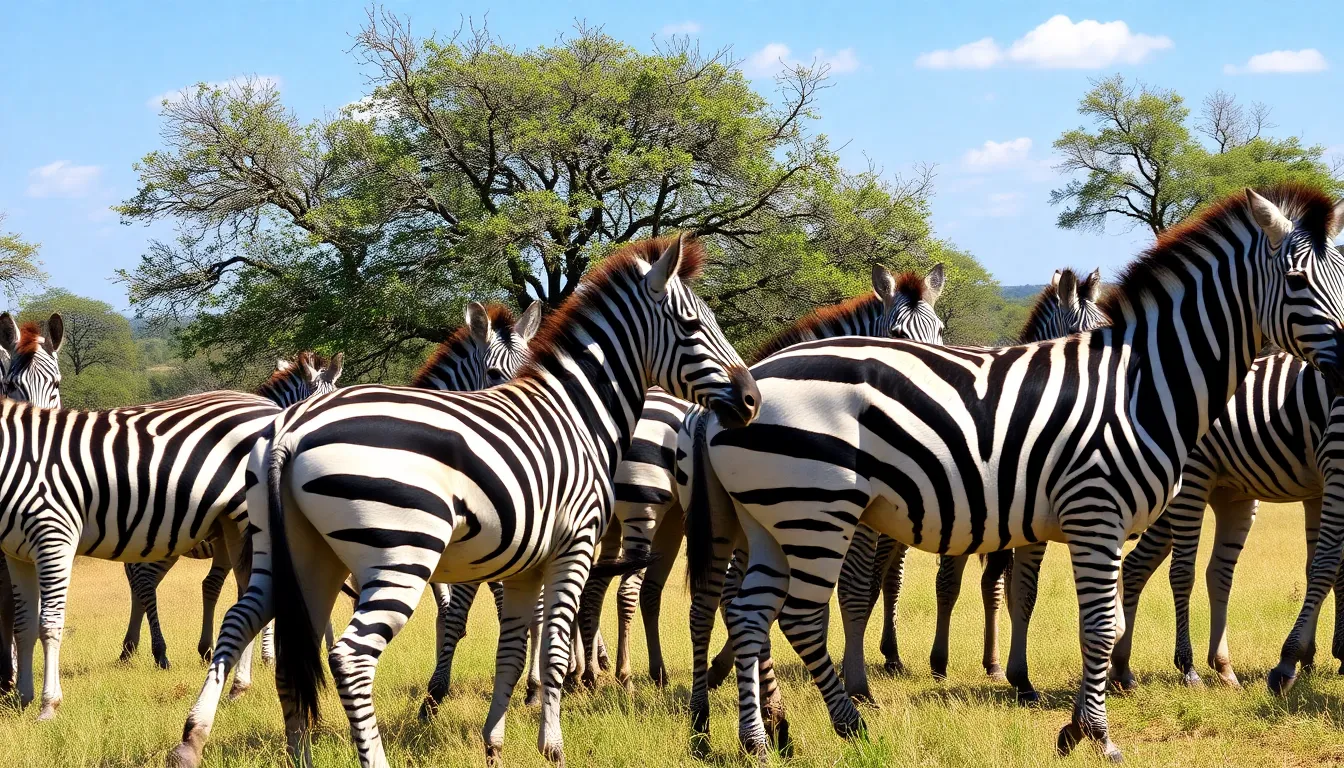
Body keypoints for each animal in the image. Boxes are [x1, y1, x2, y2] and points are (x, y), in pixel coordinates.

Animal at [165, 233, 759, 768]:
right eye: (693, 327)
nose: (752, 400)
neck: (578, 414)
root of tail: (291, 429)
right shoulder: (571, 548)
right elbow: (548, 640)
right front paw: (551, 744)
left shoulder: (522, 561)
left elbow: (513, 647)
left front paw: (495, 741)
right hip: (402, 555)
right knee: (350, 656)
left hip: (295, 554)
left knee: (244, 622)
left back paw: (216, 743)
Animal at [833, 268, 1110, 704]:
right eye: (1079, 334)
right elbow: (949, 584)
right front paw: (940, 663)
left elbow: (1004, 590)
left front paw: (999, 666)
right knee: (877, 577)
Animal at [1110, 349, 1344, 691]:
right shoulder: (1333, 465)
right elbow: (1328, 567)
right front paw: (1298, 659)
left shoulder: (1318, 490)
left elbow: (1325, 568)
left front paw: (1320, 656)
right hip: (1192, 479)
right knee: (1179, 571)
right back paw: (1187, 668)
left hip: (1220, 493)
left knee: (1146, 566)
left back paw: (1125, 667)